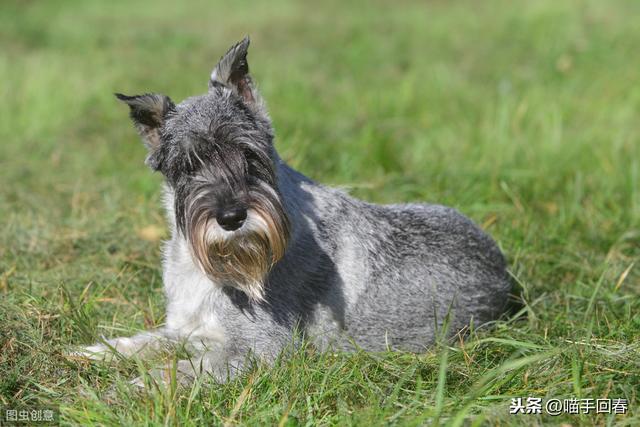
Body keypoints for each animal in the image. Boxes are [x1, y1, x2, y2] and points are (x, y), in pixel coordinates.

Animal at [79, 36, 510, 384]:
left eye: (250, 154)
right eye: (187, 166)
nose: (232, 217)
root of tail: (505, 273)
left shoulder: (258, 350)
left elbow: (174, 372)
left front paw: (120, 394)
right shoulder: (187, 329)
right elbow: (147, 342)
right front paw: (90, 353)